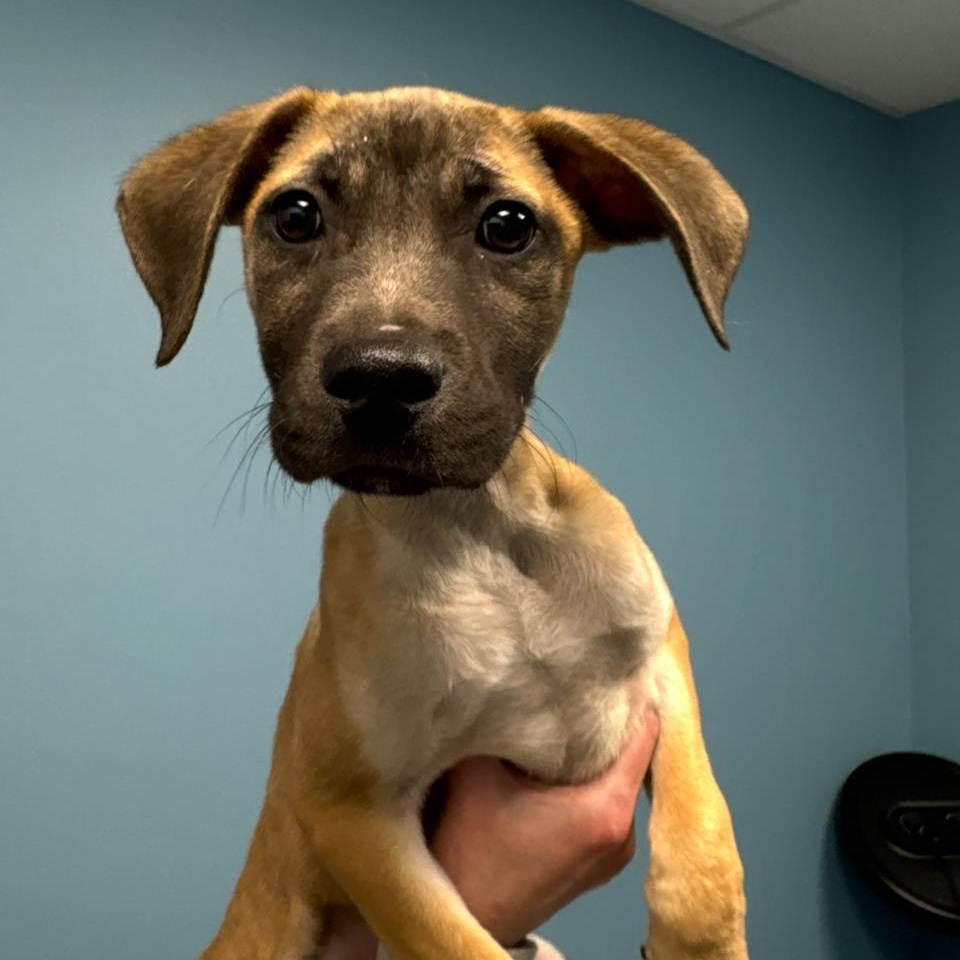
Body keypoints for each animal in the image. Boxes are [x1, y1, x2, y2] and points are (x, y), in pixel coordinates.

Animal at [117, 86, 750, 960]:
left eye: (508, 226)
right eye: (296, 215)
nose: (381, 379)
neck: (477, 528)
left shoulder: (661, 658)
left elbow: (701, 857)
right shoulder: (352, 811)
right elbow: (457, 943)